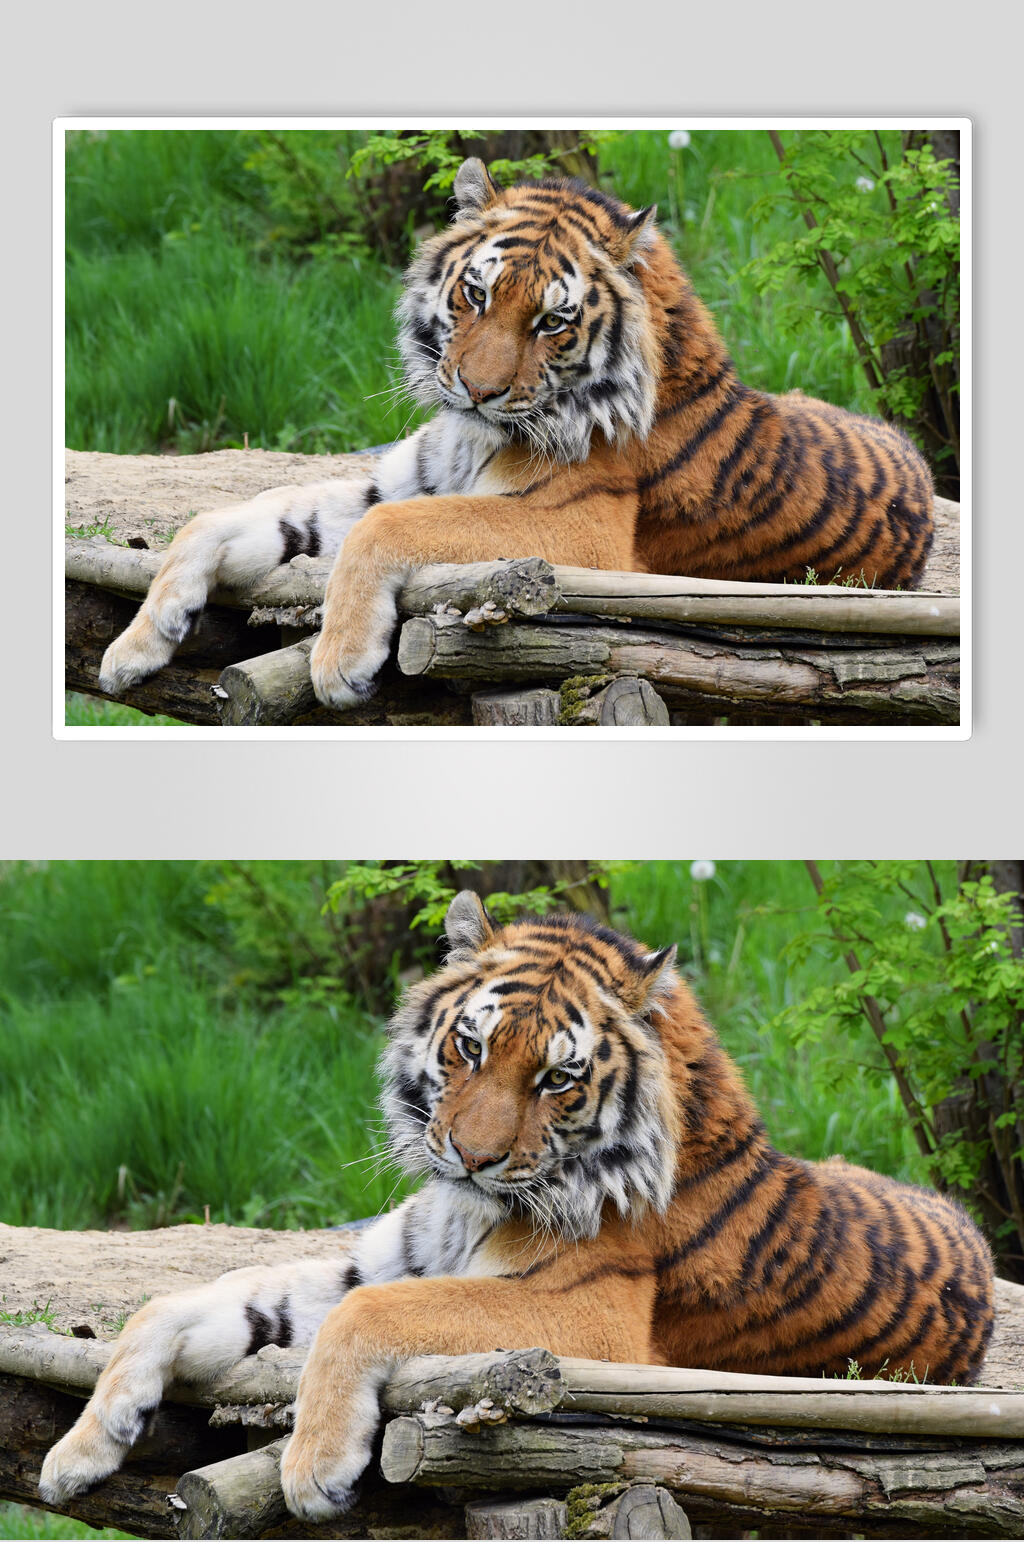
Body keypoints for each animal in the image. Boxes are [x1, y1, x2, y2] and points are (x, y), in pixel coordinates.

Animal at [41, 892, 993, 1524]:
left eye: (557, 1078)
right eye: (470, 1047)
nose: (470, 1156)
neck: (470, 1208)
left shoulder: (589, 1322)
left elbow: (367, 1315)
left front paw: (313, 1469)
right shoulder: (379, 1258)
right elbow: (177, 1301)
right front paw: (78, 1450)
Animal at [96, 157, 935, 712]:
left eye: (552, 322)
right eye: (475, 294)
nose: (476, 389)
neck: (475, 434)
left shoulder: (579, 534)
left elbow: (387, 530)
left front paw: (339, 662)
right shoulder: (395, 479)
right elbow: (223, 515)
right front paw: (135, 645)